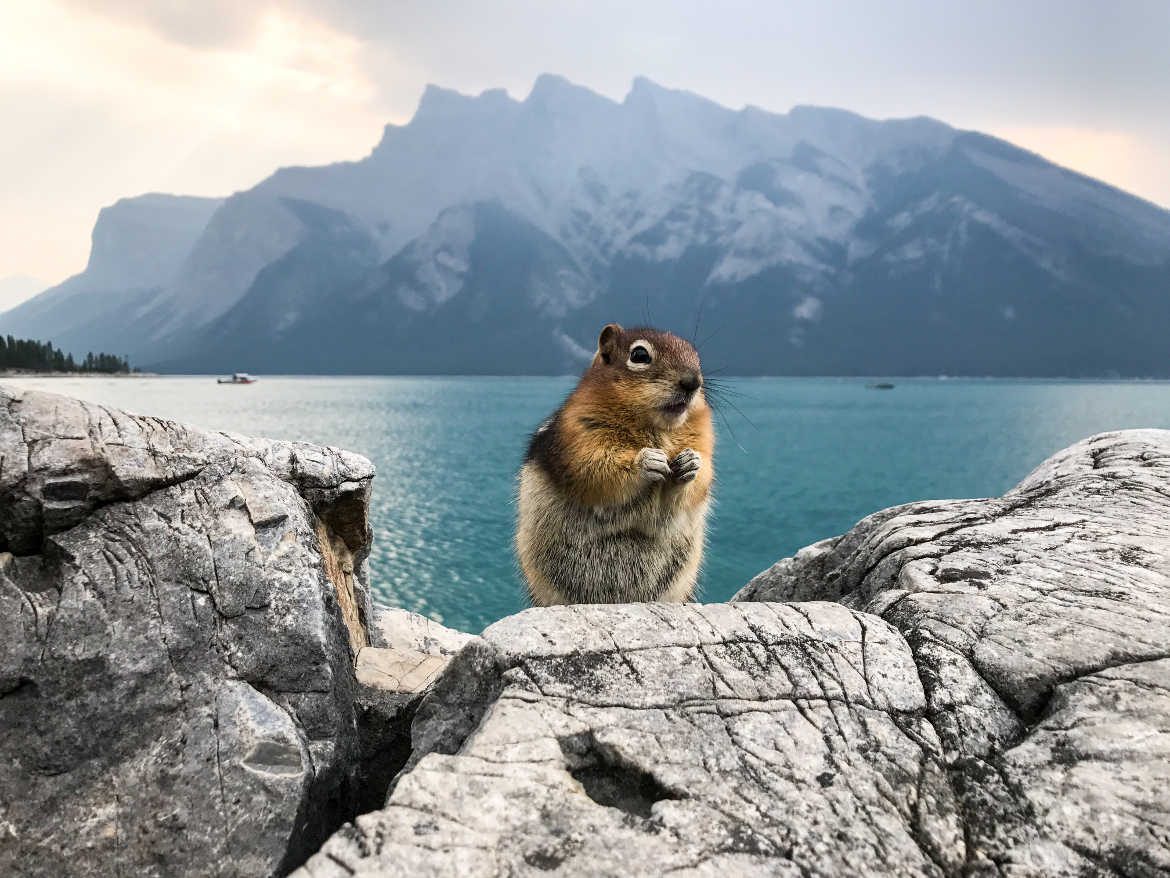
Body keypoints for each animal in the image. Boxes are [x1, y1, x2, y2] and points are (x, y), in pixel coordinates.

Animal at [516, 323, 714, 605]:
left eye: (696, 355)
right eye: (640, 355)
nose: (693, 382)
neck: (658, 429)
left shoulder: (703, 441)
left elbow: (696, 485)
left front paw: (690, 464)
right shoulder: (579, 436)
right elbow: (597, 468)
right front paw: (646, 462)